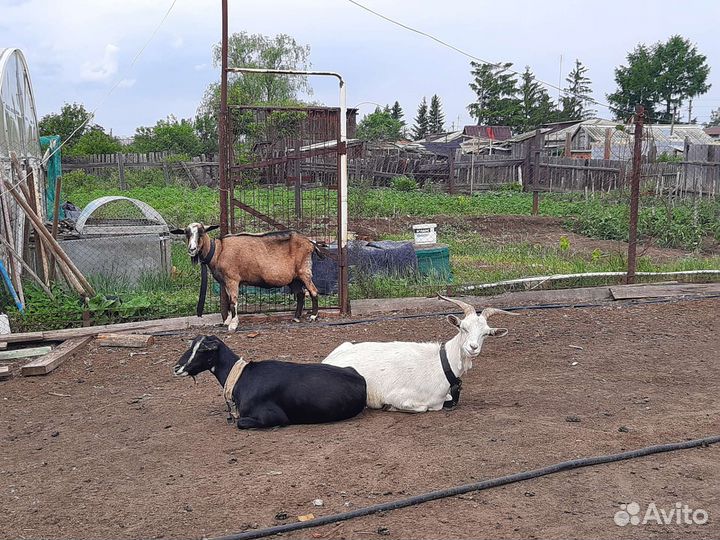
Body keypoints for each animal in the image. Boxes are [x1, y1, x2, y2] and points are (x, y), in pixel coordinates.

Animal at [170, 223, 324, 331]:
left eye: (201, 232)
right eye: (186, 233)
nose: (192, 249)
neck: (218, 251)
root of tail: (310, 242)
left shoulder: (232, 279)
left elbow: (233, 302)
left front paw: (233, 324)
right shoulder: (226, 282)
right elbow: (229, 301)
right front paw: (227, 321)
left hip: (304, 270)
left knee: (313, 291)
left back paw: (313, 316)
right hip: (293, 278)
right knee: (300, 294)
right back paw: (296, 317)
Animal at [173, 335, 367, 429]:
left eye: (201, 350)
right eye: (191, 347)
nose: (176, 367)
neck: (243, 378)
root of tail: (360, 379)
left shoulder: (274, 417)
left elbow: (240, 423)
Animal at [322, 295, 515, 413]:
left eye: (486, 334)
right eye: (463, 327)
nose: (473, 347)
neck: (442, 364)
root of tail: (329, 360)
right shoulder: (400, 396)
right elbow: (421, 407)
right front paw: (388, 407)